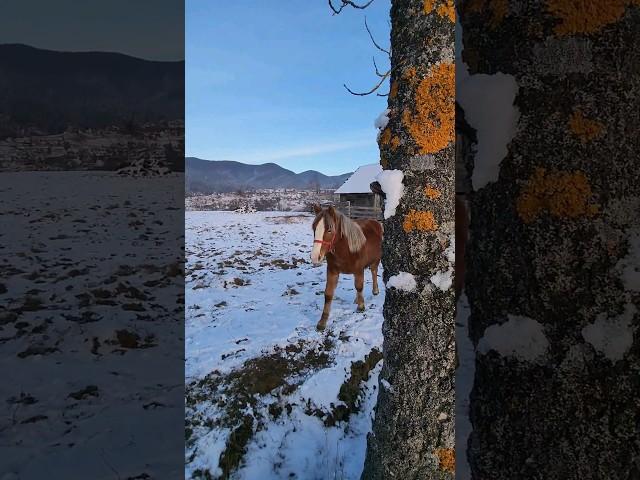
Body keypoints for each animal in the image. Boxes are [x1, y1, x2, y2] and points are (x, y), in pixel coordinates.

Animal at [308, 204, 380, 332]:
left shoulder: (358, 269)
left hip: (376, 260)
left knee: (373, 272)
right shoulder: (332, 271)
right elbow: (328, 294)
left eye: (329, 230)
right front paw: (322, 322)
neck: (345, 248)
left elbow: (359, 286)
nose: (315, 257)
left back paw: (375, 291)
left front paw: (361, 306)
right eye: (314, 228)